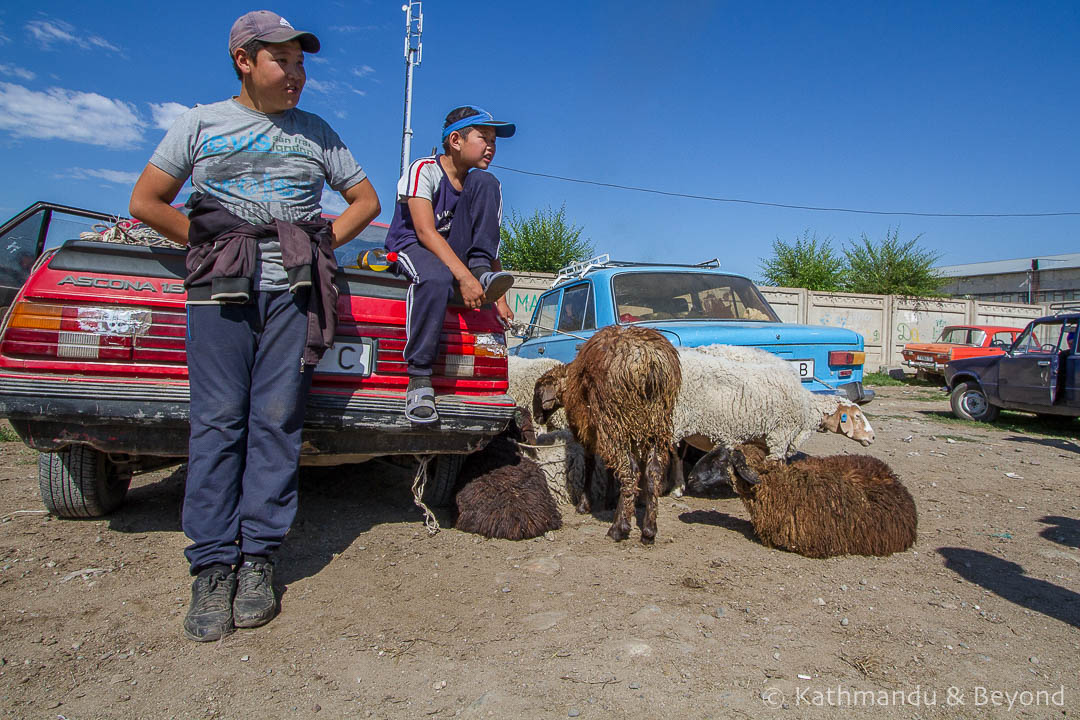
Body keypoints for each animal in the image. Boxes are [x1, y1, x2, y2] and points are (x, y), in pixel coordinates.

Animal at [533, 323, 678, 544]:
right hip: (654, 422)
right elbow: (610, 468)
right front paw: (611, 499)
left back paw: (619, 528)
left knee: (630, 471)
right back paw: (648, 530)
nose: (536, 416)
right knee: (652, 471)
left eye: (538, 391)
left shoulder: (587, 431)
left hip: (615, 418)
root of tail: (649, 363)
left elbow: (590, 464)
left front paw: (584, 504)